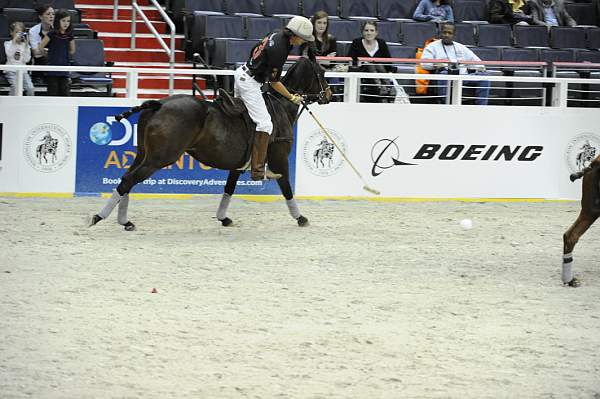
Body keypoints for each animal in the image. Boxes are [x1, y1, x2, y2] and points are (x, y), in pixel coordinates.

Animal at [89, 56, 332, 231]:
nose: (329, 95)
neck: (281, 106)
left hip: (143, 153)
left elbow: (229, 189)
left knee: (126, 179)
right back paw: (100, 217)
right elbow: (287, 188)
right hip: (159, 158)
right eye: (321, 73)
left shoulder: (238, 166)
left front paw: (223, 218)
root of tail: (158, 104)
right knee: (129, 180)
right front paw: (300, 217)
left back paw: (124, 221)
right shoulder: (279, 160)